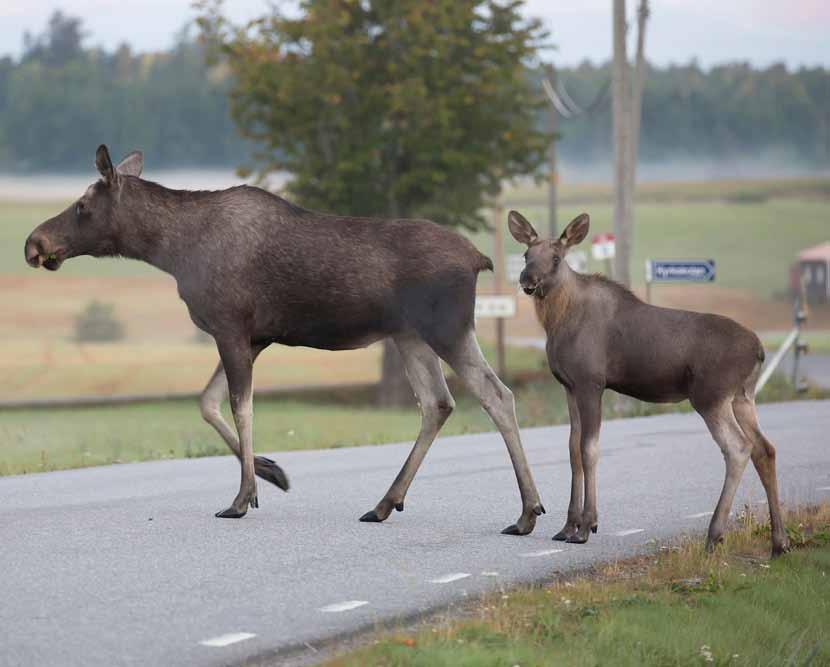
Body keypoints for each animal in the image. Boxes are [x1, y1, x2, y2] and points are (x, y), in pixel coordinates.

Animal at [510, 210, 788, 560]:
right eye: (526, 254)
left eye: (557, 258)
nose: (527, 280)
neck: (556, 321)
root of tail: (760, 350)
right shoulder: (569, 386)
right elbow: (573, 449)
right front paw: (567, 527)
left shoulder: (591, 383)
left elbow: (589, 450)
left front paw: (586, 526)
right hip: (743, 396)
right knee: (765, 448)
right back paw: (779, 542)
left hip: (710, 396)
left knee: (738, 448)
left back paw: (714, 535)